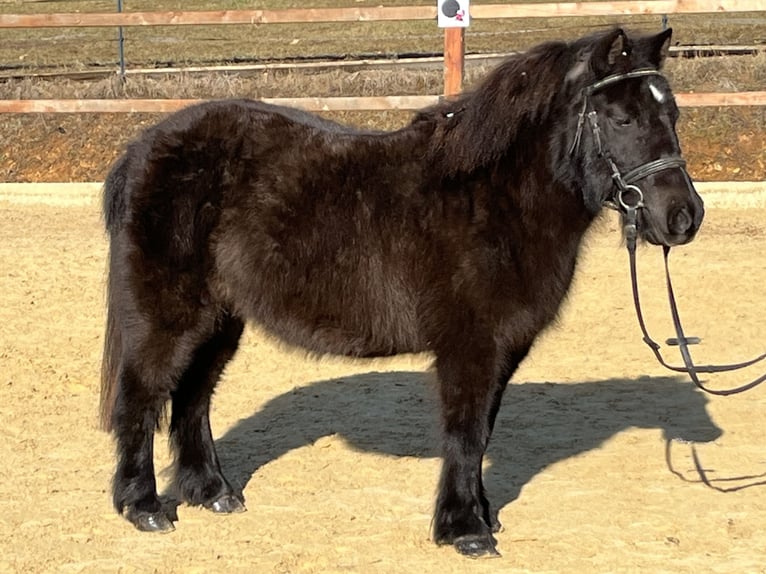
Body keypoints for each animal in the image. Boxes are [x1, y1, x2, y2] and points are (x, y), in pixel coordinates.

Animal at [102, 28, 708, 560]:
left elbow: (484, 431)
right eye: (623, 118)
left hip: (220, 318)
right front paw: (465, 531)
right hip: (168, 315)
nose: (683, 218)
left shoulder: (504, 348)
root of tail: (144, 148)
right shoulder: (469, 346)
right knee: (143, 395)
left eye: (673, 114)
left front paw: (482, 514)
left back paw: (212, 493)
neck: (494, 198)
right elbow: (465, 432)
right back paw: (144, 506)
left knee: (193, 396)